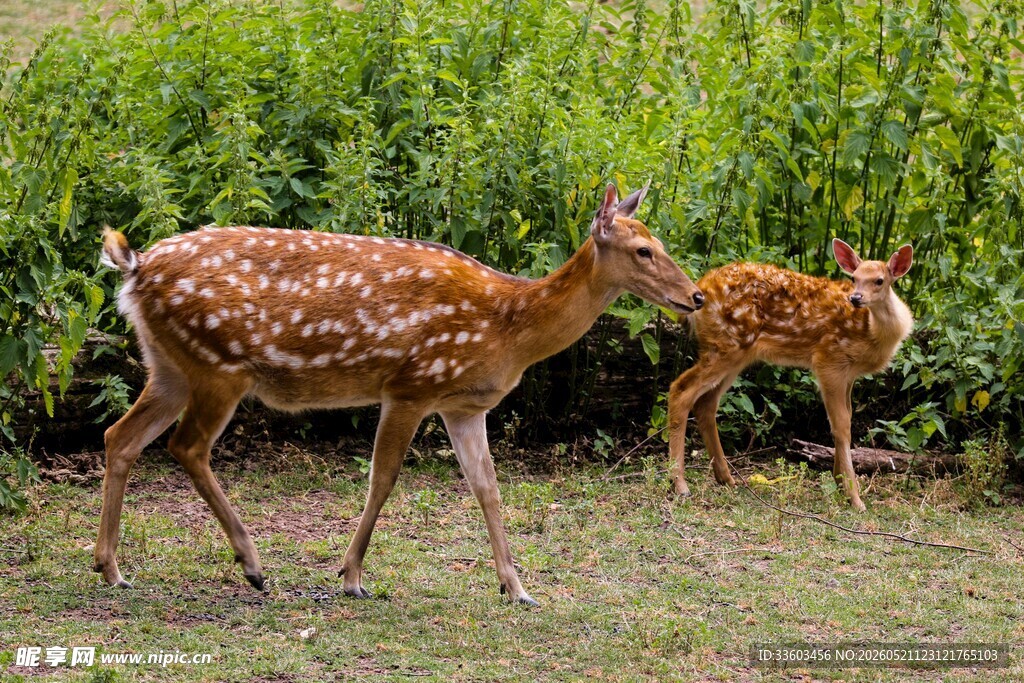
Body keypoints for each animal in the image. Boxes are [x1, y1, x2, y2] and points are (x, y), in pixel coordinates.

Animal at [96, 183, 705, 606]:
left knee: (119, 436)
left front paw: (517, 588)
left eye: (659, 243)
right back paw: (252, 565)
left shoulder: (464, 405)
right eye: (644, 250)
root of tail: (136, 267)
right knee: (186, 446)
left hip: (169, 366)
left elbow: (487, 489)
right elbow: (383, 477)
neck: (509, 328)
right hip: (220, 365)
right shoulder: (412, 383)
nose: (697, 296)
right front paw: (352, 578)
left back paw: (111, 568)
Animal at [667, 238, 913, 511]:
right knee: (681, 390)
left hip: (737, 353)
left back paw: (726, 478)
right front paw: (854, 497)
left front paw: (839, 482)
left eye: (879, 280)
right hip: (726, 345)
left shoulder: (850, 374)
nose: (855, 298)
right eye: (854, 278)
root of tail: (701, 289)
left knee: (706, 403)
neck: (872, 333)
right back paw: (679, 483)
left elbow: (846, 419)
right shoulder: (828, 360)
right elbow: (841, 427)